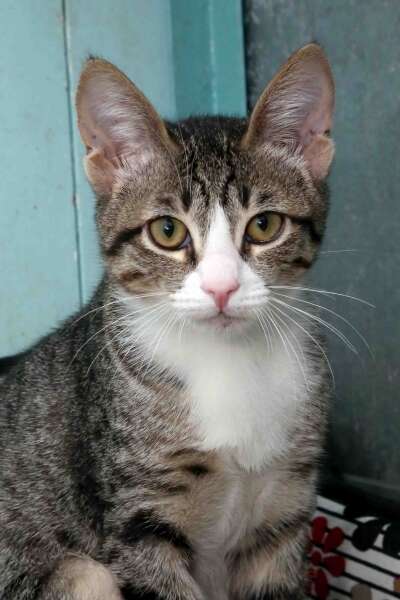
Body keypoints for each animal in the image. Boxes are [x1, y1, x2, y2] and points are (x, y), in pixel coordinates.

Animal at [0, 43, 334, 600]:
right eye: (167, 231)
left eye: (265, 225)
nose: (221, 287)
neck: (229, 364)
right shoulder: (138, 518)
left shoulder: (284, 506)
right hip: (76, 575)